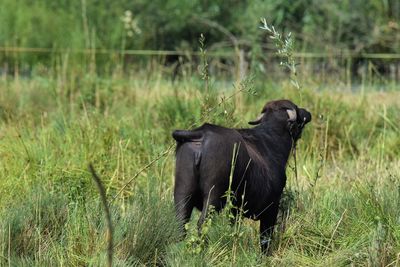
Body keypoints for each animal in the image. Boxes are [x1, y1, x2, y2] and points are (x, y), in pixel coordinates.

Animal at [172, 100, 312, 253]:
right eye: (297, 109)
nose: (307, 113)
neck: (271, 139)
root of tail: (202, 133)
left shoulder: (235, 211)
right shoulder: (272, 207)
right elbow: (265, 236)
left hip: (182, 192)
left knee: (180, 224)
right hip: (213, 196)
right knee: (202, 223)